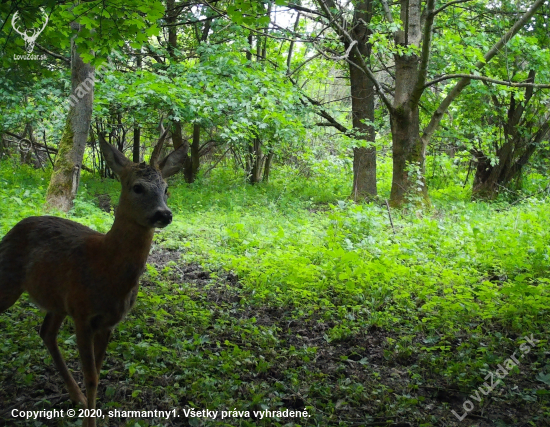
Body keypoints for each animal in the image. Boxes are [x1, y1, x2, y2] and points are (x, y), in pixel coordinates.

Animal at [0, 135, 181, 427]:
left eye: (166, 188)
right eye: (138, 187)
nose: (164, 214)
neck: (107, 268)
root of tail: (14, 227)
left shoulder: (108, 321)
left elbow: (97, 371)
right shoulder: (83, 314)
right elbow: (91, 376)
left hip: (58, 301)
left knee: (46, 332)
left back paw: (76, 398)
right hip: (9, 281)